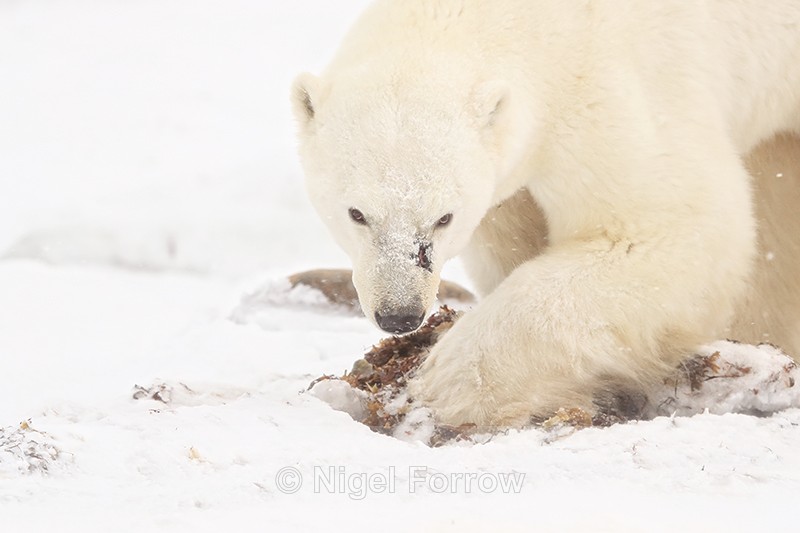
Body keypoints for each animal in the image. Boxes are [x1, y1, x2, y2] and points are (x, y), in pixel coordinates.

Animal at [291, 0, 800, 427]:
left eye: (444, 217)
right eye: (357, 213)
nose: (399, 314)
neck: (542, 20)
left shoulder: (620, 86)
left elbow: (668, 226)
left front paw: (445, 381)